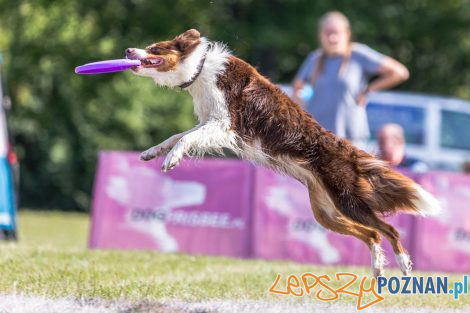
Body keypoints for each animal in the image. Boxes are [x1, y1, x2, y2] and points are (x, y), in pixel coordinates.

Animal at [126, 28, 440, 276]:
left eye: (155, 48)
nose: (128, 49)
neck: (201, 68)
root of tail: (352, 154)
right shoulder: (209, 123)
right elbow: (177, 136)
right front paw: (152, 152)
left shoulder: (224, 124)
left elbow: (186, 139)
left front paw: (172, 159)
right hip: (327, 213)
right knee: (373, 234)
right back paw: (377, 267)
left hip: (349, 201)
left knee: (389, 230)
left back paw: (404, 265)